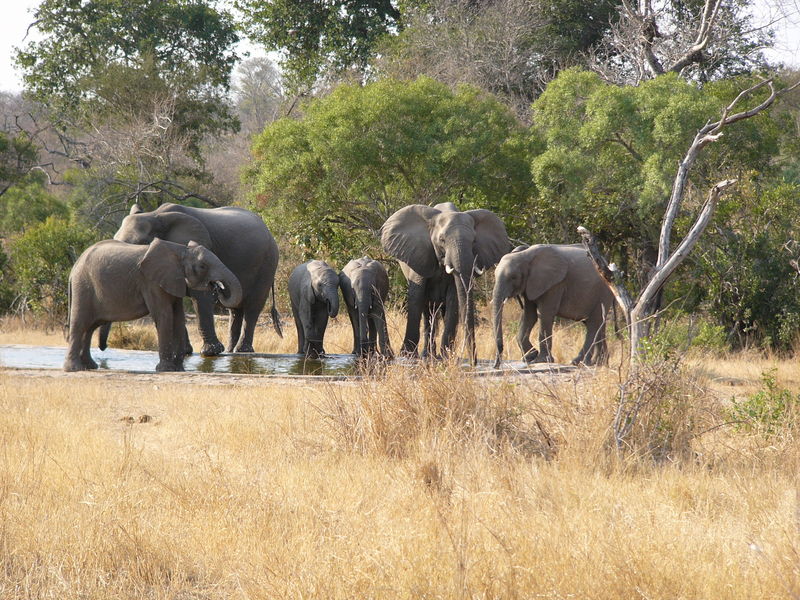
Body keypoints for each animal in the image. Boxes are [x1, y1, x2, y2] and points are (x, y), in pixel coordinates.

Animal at [63, 238, 241, 370]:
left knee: (90, 327)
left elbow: (178, 317)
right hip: (83, 287)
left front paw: (178, 369)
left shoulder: (173, 280)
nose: (218, 287)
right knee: (80, 323)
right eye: (203, 266)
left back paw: (90, 367)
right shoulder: (151, 282)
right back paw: (74, 369)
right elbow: (165, 316)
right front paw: (166, 369)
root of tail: (74, 268)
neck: (180, 250)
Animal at [111, 204, 282, 358]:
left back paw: (241, 351)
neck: (154, 215)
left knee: (253, 306)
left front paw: (210, 352)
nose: (219, 287)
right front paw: (183, 351)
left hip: (268, 263)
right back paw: (230, 350)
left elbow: (201, 297)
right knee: (235, 309)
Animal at [380, 202, 506, 364]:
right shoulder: (420, 256)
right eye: (442, 239)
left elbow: (453, 299)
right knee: (427, 311)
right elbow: (416, 296)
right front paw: (407, 355)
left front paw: (446, 356)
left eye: (474, 241)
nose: (474, 362)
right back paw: (427, 355)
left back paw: (433, 355)